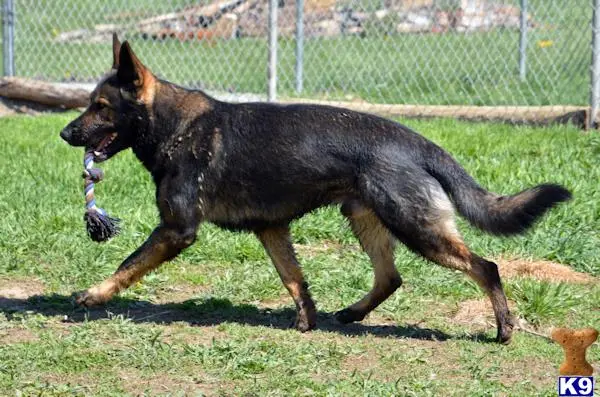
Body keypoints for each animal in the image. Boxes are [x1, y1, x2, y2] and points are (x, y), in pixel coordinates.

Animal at [61, 35, 572, 342]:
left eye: (100, 106)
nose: (65, 134)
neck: (175, 127)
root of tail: (418, 141)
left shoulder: (176, 229)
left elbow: (129, 263)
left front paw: (94, 295)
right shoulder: (271, 229)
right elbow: (294, 280)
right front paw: (306, 320)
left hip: (417, 228)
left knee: (486, 266)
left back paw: (504, 328)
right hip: (368, 219)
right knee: (391, 277)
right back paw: (351, 315)